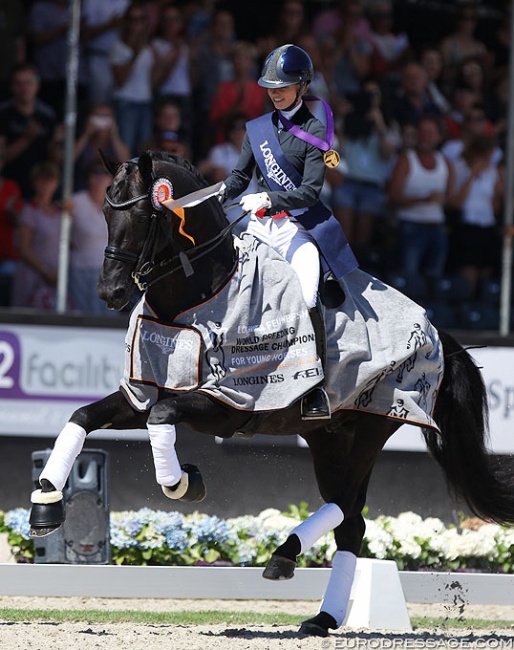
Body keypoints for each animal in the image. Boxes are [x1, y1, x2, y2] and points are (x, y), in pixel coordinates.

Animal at [29, 151, 512, 632]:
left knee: (345, 506)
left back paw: (285, 558)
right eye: (105, 211)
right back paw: (321, 617)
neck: (196, 298)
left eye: (148, 214)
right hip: (330, 439)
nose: (110, 292)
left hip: (373, 423)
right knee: (350, 520)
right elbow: (82, 418)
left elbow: (163, 419)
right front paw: (46, 505)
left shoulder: (228, 403)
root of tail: (432, 329)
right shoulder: (142, 393)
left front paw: (185, 482)